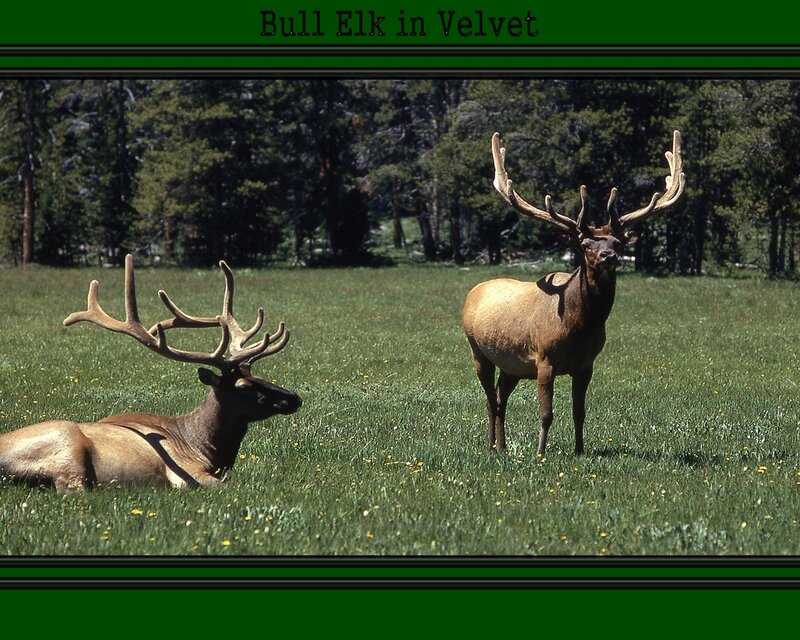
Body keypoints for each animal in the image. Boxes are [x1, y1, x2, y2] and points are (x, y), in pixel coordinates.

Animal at [0, 254, 302, 491]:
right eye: (243, 387)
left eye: (260, 376)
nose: (295, 398)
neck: (207, 449)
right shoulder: (187, 474)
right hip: (67, 445)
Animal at [462, 130, 685, 457]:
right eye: (585, 245)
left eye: (617, 243)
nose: (608, 256)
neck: (577, 327)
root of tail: (473, 292)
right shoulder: (544, 360)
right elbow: (546, 413)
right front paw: (541, 453)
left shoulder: (586, 365)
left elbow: (580, 411)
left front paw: (579, 450)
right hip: (478, 351)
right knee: (491, 400)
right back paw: (491, 446)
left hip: (512, 365)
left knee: (501, 398)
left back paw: (501, 446)